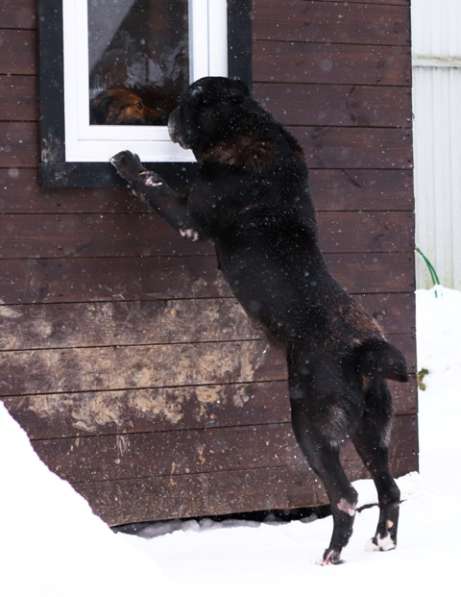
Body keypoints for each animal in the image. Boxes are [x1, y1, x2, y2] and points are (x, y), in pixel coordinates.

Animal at [110, 74, 406, 564]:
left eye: (186, 100)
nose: (167, 115)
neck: (246, 126)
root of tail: (365, 353)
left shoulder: (189, 216)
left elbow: (154, 184)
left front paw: (127, 161)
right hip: (372, 432)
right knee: (389, 486)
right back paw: (383, 540)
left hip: (311, 424)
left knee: (344, 494)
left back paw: (332, 554)